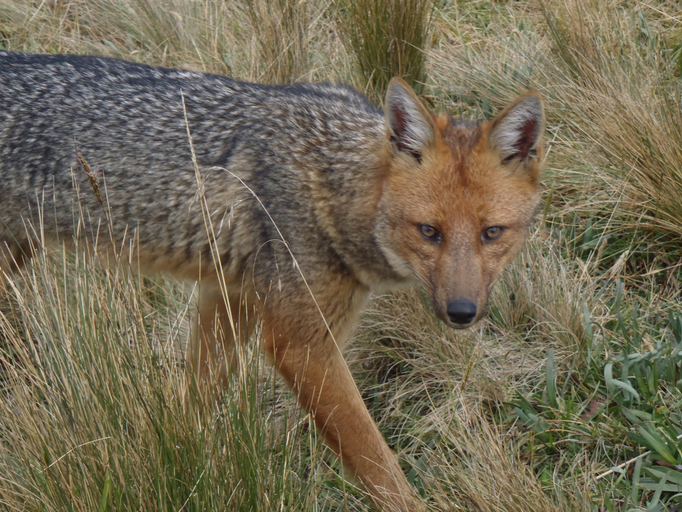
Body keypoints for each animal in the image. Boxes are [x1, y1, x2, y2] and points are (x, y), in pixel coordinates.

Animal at [0, 53, 540, 512]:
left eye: (492, 233)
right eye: (430, 232)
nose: (462, 313)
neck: (330, 183)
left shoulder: (229, 298)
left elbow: (192, 405)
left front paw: (177, 464)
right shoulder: (301, 344)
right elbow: (376, 460)